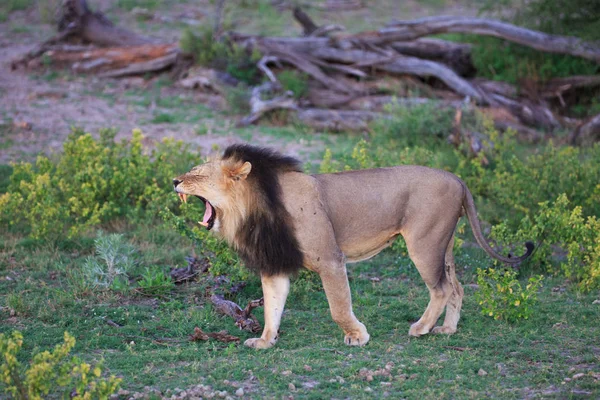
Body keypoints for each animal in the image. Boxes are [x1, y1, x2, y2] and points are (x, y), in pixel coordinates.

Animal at [171, 145, 532, 348]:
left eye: (196, 173)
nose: (174, 181)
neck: (251, 211)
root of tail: (458, 178)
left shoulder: (330, 259)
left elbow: (338, 306)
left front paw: (357, 336)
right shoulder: (275, 266)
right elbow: (272, 306)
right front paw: (264, 341)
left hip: (424, 243)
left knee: (441, 289)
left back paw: (421, 328)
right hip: (445, 246)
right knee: (457, 287)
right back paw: (446, 330)